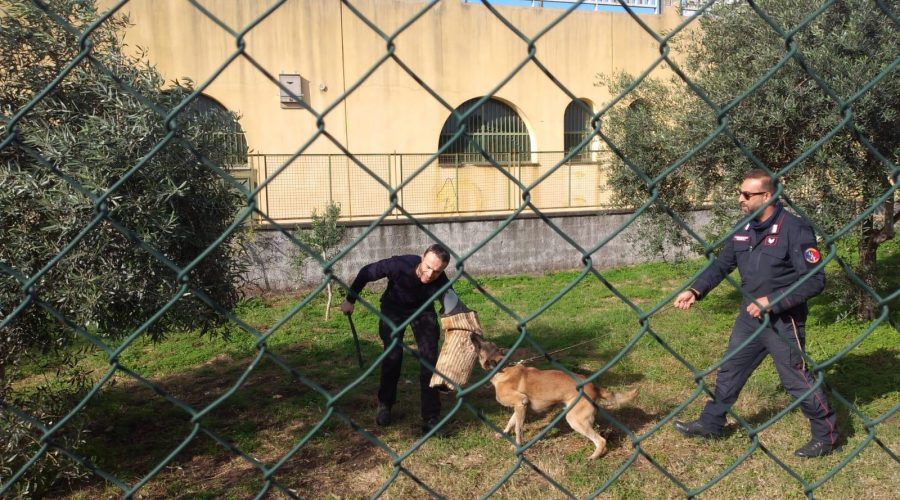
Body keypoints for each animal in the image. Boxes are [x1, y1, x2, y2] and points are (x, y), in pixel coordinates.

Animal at [472, 336, 640, 460]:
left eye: (482, 345)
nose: (472, 334)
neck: (502, 368)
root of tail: (593, 386)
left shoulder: (521, 403)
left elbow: (518, 429)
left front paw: (517, 446)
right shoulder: (520, 407)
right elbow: (511, 422)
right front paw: (504, 433)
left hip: (575, 420)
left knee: (601, 440)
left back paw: (594, 456)